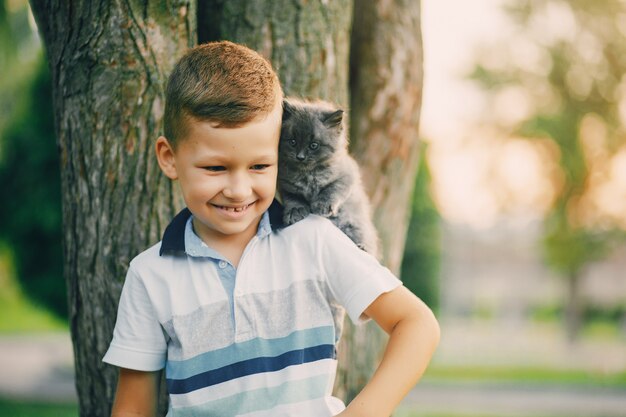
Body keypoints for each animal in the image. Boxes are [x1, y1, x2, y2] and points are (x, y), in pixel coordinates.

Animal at [280, 98, 380, 258]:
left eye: (313, 145)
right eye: (293, 142)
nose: (300, 157)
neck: (308, 174)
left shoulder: (347, 175)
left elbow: (332, 189)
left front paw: (322, 206)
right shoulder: (286, 185)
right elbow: (293, 199)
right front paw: (295, 212)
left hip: (356, 225)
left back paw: (363, 247)